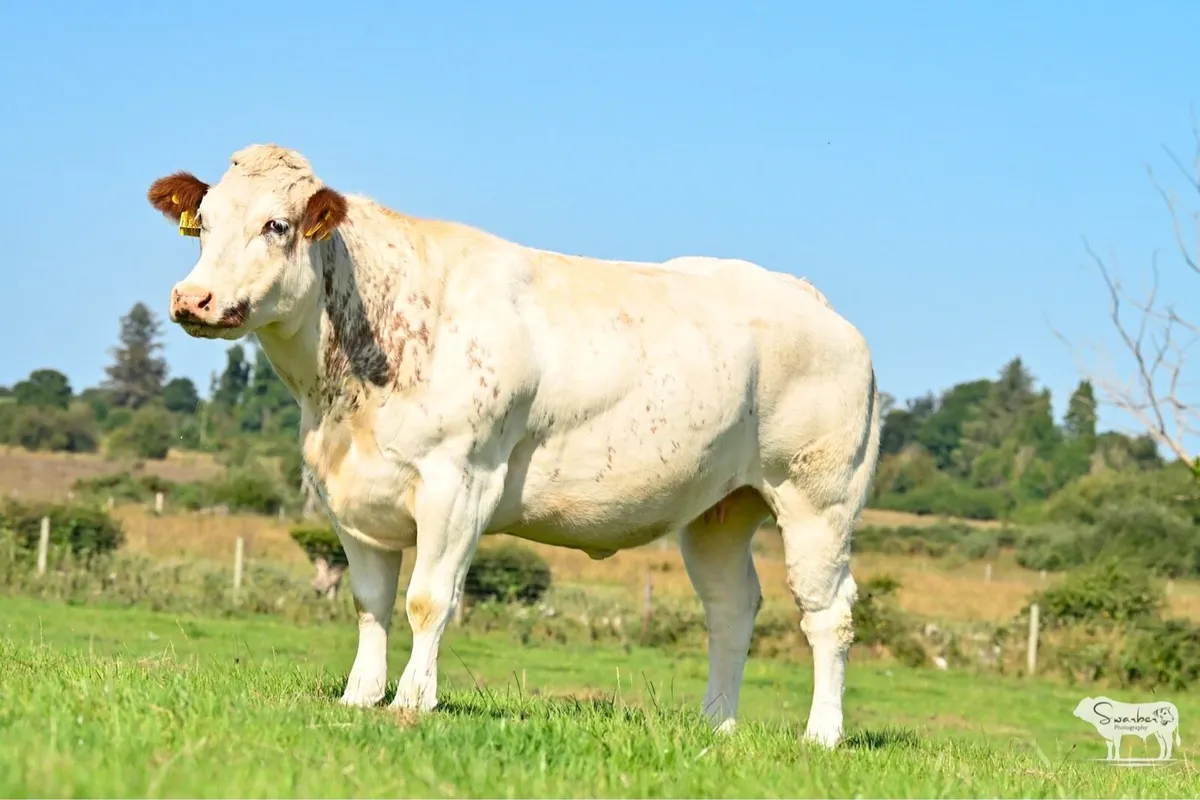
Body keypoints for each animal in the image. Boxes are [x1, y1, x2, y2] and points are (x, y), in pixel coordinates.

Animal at [146, 144, 881, 748]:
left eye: (277, 225)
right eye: (203, 223)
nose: (193, 298)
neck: (339, 396)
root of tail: (809, 297)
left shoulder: (459, 480)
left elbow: (428, 599)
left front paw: (411, 701)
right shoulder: (348, 494)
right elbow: (369, 601)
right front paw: (359, 696)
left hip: (818, 496)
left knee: (828, 614)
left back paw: (822, 735)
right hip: (717, 510)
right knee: (731, 608)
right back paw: (715, 725)